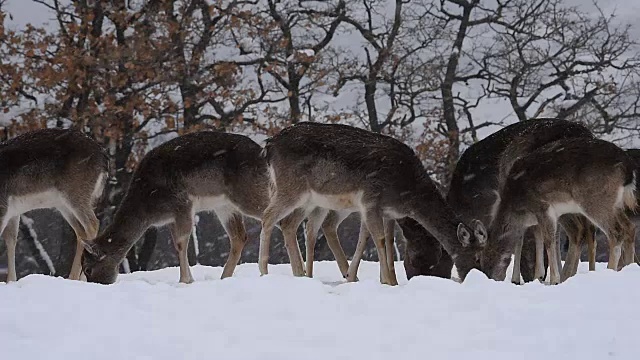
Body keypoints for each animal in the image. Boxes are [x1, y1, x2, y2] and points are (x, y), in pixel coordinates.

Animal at [0, 128, 109, 282]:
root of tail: (104, 157)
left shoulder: (2, 206)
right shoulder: (13, 212)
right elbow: (11, 240)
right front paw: (11, 280)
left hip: (76, 192)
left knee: (92, 224)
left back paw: (75, 277)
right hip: (64, 204)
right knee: (80, 231)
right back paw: (79, 277)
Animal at [258, 122, 488, 286]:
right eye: (477, 258)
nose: (482, 278)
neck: (408, 193)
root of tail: (268, 146)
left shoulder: (388, 212)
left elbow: (386, 239)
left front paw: (387, 280)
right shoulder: (370, 200)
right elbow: (379, 239)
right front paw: (388, 281)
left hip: (309, 199)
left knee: (290, 224)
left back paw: (300, 274)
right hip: (292, 188)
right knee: (268, 216)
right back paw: (264, 271)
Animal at [480, 138, 636, 284]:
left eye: (486, 260)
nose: (491, 278)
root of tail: (628, 168)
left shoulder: (543, 207)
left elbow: (549, 240)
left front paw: (553, 279)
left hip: (596, 200)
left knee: (616, 232)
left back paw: (610, 269)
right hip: (616, 204)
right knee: (629, 227)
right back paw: (630, 267)